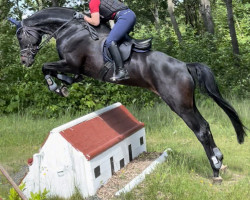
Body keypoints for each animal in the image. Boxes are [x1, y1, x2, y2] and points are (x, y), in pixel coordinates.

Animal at [9, 7, 246, 180]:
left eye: (20, 36)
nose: (24, 61)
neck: (70, 29)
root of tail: (184, 65)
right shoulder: (77, 69)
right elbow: (60, 73)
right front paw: (63, 85)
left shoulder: (71, 63)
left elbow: (46, 68)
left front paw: (56, 87)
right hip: (188, 102)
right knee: (205, 125)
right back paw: (219, 161)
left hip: (179, 104)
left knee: (201, 130)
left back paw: (215, 168)